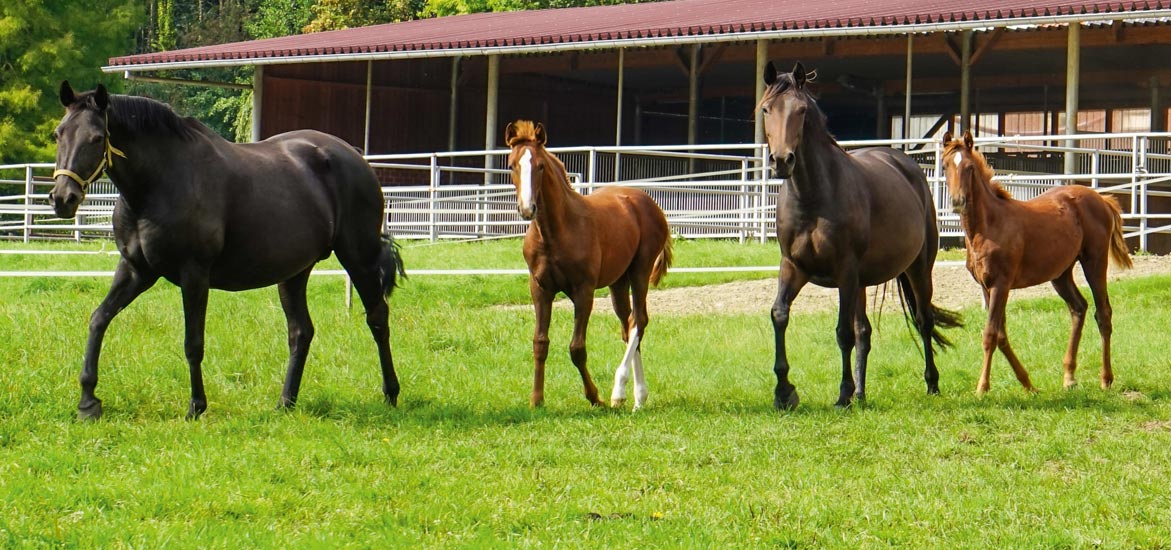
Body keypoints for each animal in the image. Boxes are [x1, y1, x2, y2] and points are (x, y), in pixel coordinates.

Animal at [51, 81, 407, 418]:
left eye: (97, 138)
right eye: (58, 134)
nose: (63, 198)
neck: (159, 182)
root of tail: (354, 155)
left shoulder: (194, 273)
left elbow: (193, 342)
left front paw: (196, 406)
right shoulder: (136, 269)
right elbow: (99, 319)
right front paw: (88, 402)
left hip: (358, 258)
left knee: (377, 318)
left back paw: (390, 393)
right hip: (294, 272)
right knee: (300, 332)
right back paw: (285, 402)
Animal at [501, 122, 669, 409]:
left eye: (541, 166)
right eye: (512, 165)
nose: (527, 209)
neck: (555, 231)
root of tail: (648, 203)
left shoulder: (583, 291)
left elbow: (577, 348)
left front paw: (594, 397)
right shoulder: (540, 288)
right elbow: (540, 342)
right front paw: (536, 400)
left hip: (640, 270)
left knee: (640, 320)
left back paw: (621, 392)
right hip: (618, 281)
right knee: (629, 325)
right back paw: (637, 397)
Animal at [758, 63, 960, 407]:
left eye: (801, 110)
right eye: (766, 109)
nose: (782, 160)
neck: (813, 196)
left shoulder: (845, 272)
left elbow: (843, 333)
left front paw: (843, 393)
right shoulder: (793, 267)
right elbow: (780, 314)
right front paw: (784, 392)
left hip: (917, 269)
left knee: (923, 321)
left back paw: (931, 383)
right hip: (863, 282)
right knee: (864, 331)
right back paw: (863, 395)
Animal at [936, 131, 1128, 393]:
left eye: (969, 167)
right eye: (945, 165)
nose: (958, 201)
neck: (989, 225)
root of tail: (1101, 199)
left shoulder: (1001, 284)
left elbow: (990, 334)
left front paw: (982, 387)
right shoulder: (986, 286)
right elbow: (1001, 335)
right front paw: (1028, 384)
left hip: (1095, 263)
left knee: (1103, 314)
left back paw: (1106, 379)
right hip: (1061, 274)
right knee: (1079, 308)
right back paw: (1069, 376)